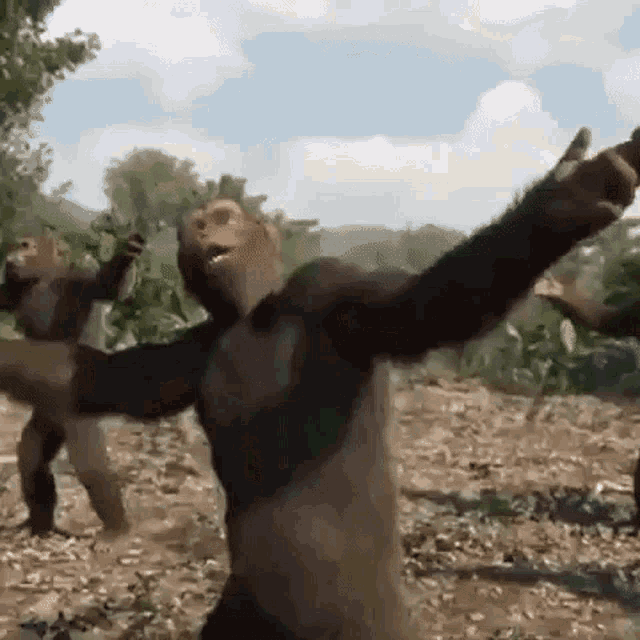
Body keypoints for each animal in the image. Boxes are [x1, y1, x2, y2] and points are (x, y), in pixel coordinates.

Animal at [0, 232, 144, 537]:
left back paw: (117, 528)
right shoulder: (11, 292)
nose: (10, 255)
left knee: (91, 464)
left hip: (80, 413)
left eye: (26, 245)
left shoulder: (78, 282)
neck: (42, 278)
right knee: (32, 457)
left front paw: (128, 253)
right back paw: (39, 524)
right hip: (48, 417)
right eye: (18, 244)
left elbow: (108, 287)